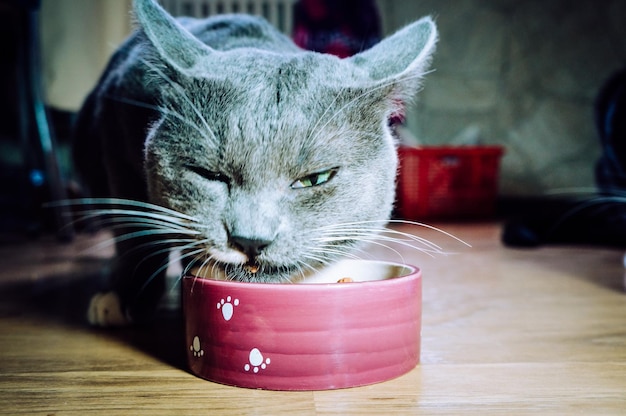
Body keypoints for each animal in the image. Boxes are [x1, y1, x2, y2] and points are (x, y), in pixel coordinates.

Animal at [72, 0, 434, 326]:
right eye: (209, 174)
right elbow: (132, 228)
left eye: (315, 179)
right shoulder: (115, 115)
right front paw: (123, 296)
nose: (251, 240)